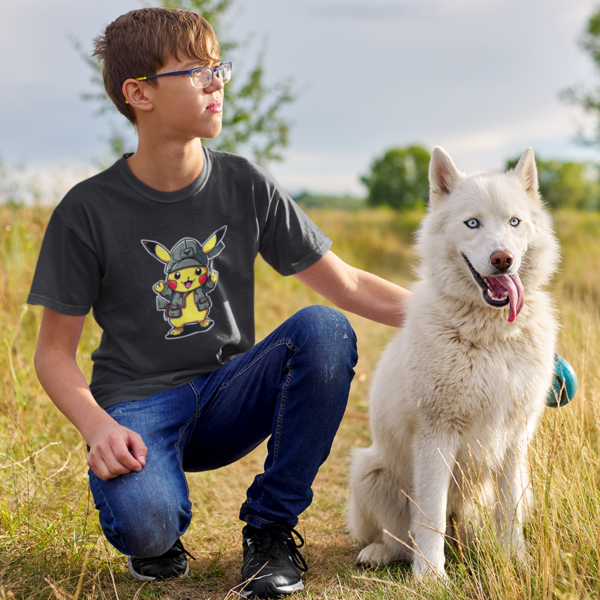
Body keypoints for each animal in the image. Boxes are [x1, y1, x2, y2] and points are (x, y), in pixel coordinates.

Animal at [350, 145, 560, 576]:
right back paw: (380, 553)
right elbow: (429, 513)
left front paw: (514, 562)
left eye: (514, 221)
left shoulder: (515, 439)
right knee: (399, 537)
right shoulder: (436, 434)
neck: (492, 336)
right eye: (472, 223)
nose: (503, 260)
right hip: (367, 470)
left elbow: (509, 513)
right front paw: (431, 577)